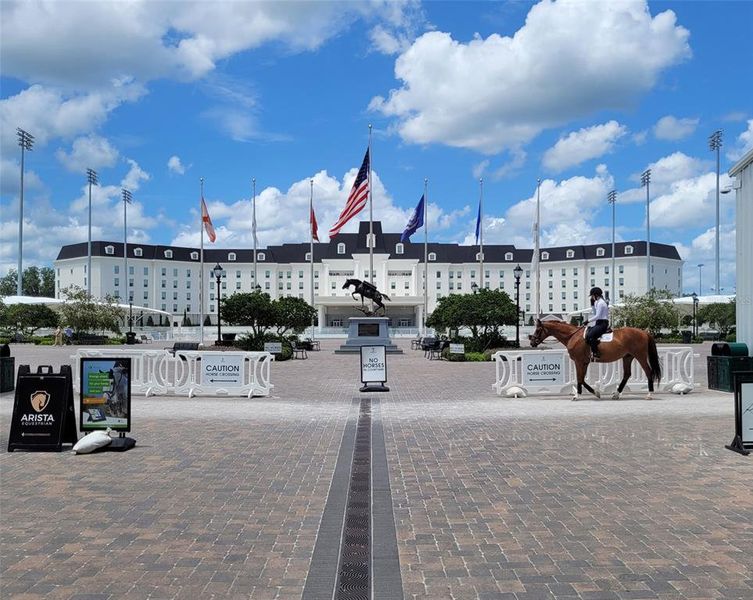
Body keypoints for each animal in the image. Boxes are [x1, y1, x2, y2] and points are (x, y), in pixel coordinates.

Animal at [524, 322, 660, 400]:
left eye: (538, 330)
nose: (532, 342)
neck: (573, 335)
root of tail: (644, 332)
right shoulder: (584, 362)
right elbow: (582, 379)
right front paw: (595, 393)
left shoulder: (579, 361)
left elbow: (579, 379)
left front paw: (577, 395)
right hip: (627, 357)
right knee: (627, 374)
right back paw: (616, 394)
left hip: (640, 356)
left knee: (648, 372)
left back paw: (649, 394)